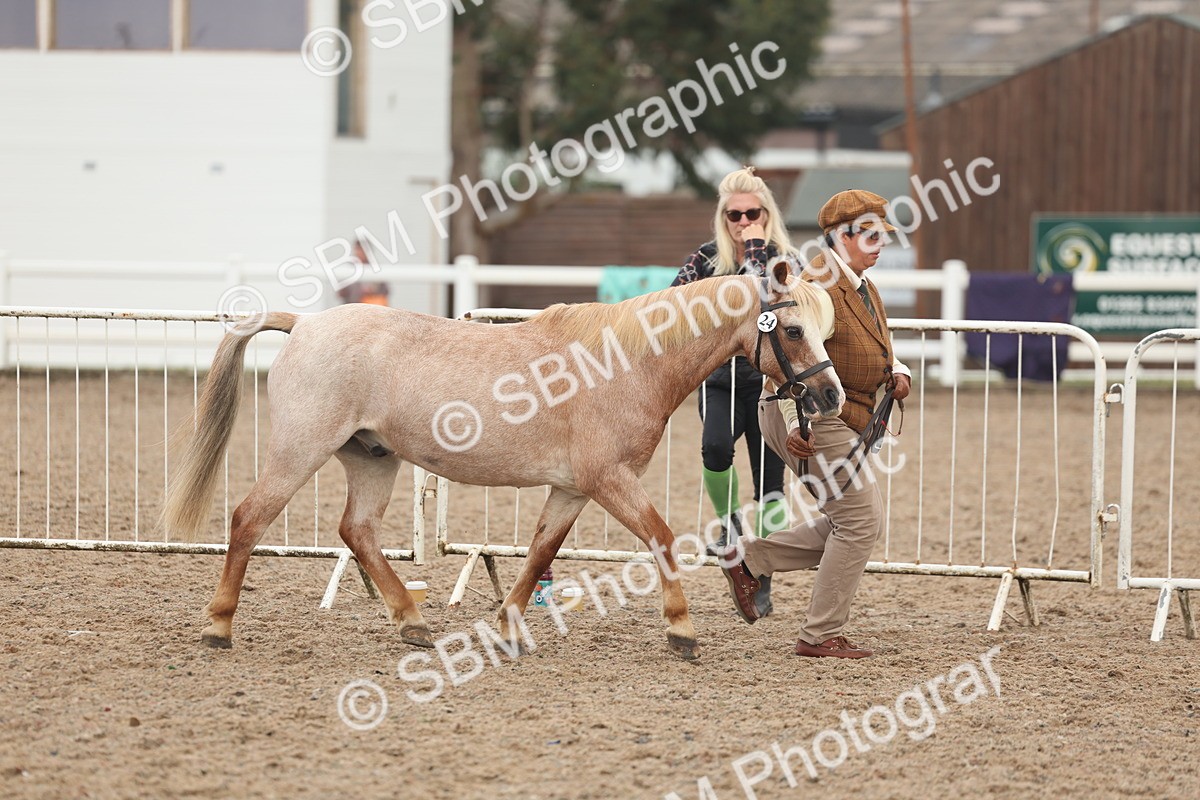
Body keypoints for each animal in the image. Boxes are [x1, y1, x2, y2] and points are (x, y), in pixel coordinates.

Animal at [162, 258, 844, 660]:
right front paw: (681, 631)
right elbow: (660, 536)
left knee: (357, 531)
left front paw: (510, 626)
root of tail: (303, 325)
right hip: (300, 450)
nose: (830, 396)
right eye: (791, 331)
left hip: (372, 458)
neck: (625, 362)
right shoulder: (609, 480)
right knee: (249, 520)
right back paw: (219, 627)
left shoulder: (573, 489)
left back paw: (412, 622)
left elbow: (541, 550)